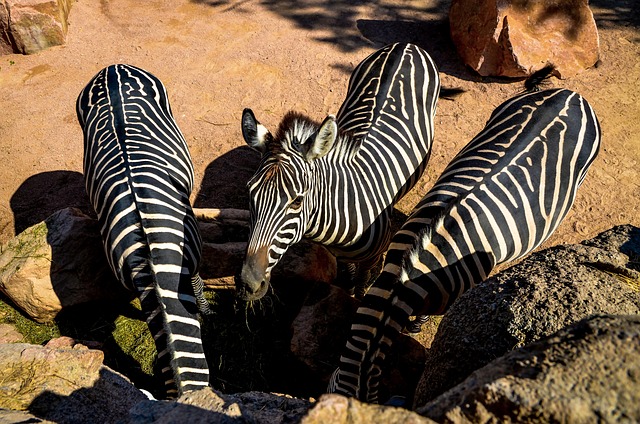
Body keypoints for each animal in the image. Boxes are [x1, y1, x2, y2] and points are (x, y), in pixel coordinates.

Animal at [237, 43, 441, 301]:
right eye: (249, 193)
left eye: (297, 201)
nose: (247, 284)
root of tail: (405, 45)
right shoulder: (338, 254)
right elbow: (349, 269)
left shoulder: (373, 257)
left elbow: (362, 280)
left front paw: (356, 297)